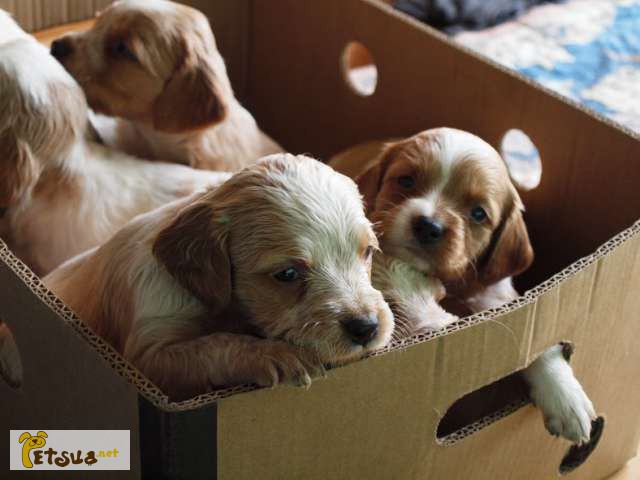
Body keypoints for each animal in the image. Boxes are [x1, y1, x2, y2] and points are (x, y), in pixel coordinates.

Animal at [45, 156, 392, 400]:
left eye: (367, 252)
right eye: (287, 274)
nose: (366, 327)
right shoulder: (146, 355)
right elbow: (215, 343)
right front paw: (275, 354)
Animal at [332, 128, 596, 446]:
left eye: (478, 214)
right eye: (406, 180)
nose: (428, 226)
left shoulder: (498, 299)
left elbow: (532, 337)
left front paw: (566, 399)